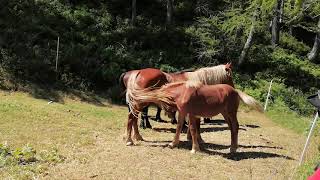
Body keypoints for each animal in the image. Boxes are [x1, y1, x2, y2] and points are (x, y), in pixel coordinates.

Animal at [125, 74, 262, 153]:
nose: (132, 106)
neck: (182, 92)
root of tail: (235, 91)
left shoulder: (190, 114)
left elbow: (192, 129)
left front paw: (194, 149)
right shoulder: (182, 113)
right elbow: (179, 127)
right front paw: (173, 144)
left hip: (231, 113)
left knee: (235, 127)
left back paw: (233, 148)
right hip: (225, 114)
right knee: (232, 128)